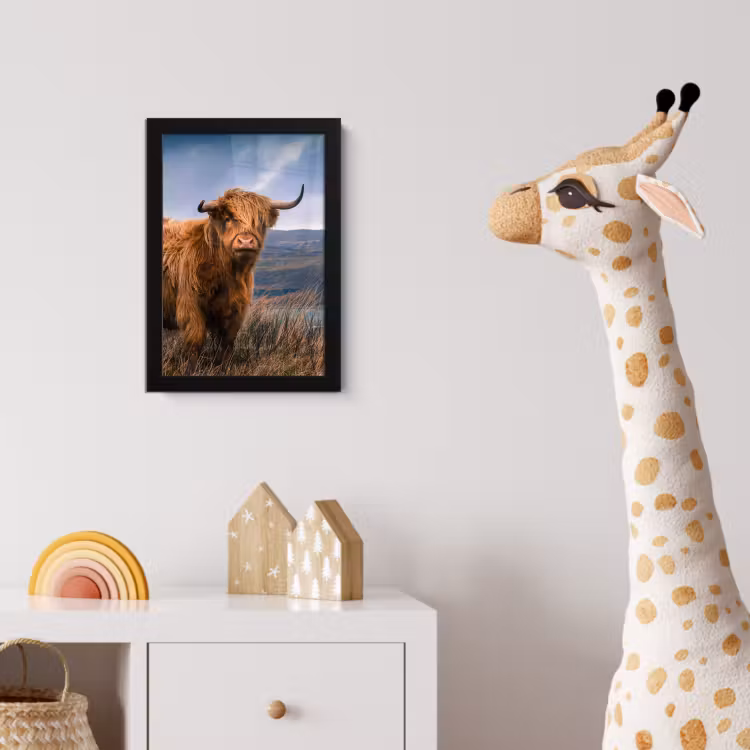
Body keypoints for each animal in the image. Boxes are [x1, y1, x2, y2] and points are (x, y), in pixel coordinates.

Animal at [162, 185, 304, 368]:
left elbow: (227, 343)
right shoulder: (190, 305)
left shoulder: (236, 310)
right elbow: (195, 343)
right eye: (228, 218)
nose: (246, 242)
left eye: (260, 220)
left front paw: (223, 368)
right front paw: (191, 369)